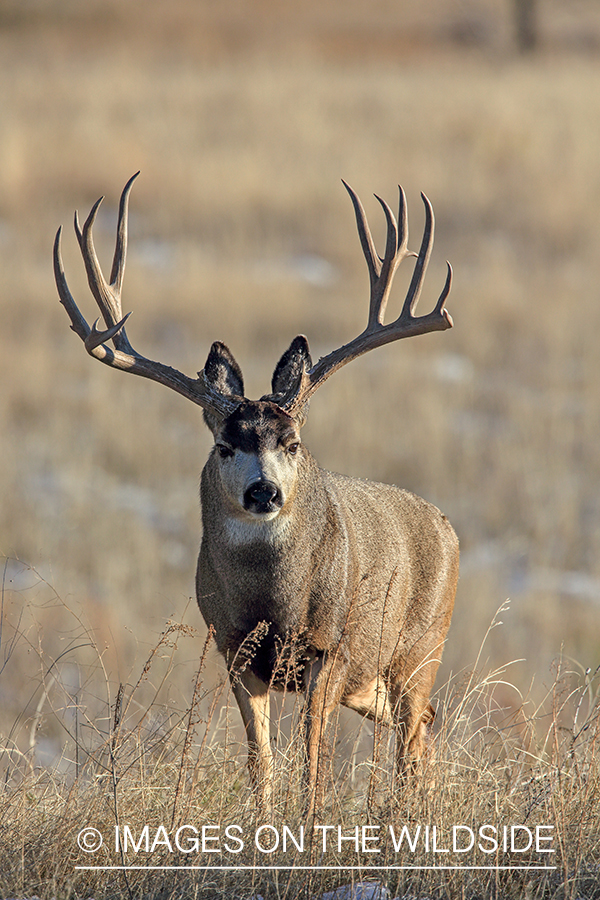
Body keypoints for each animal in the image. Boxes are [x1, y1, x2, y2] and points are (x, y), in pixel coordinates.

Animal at [55, 174, 460, 816]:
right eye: (225, 445)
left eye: (292, 443)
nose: (264, 491)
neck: (274, 601)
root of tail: (448, 526)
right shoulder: (233, 648)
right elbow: (261, 762)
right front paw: (266, 820)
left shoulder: (330, 647)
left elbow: (314, 762)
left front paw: (313, 821)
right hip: (377, 679)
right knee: (424, 729)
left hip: (420, 649)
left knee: (413, 737)